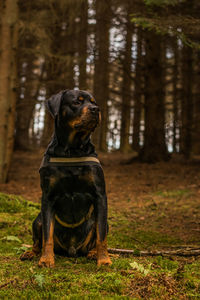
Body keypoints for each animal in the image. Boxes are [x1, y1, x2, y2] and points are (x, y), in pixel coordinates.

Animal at [20, 89, 111, 268]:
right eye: (77, 102)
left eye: (94, 102)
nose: (96, 110)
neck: (72, 150)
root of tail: (71, 250)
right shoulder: (48, 197)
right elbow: (47, 235)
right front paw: (46, 259)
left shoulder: (100, 195)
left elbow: (101, 235)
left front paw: (104, 259)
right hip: (37, 220)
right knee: (38, 239)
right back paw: (32, 253)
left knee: (97, 233)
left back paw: (92, 253)